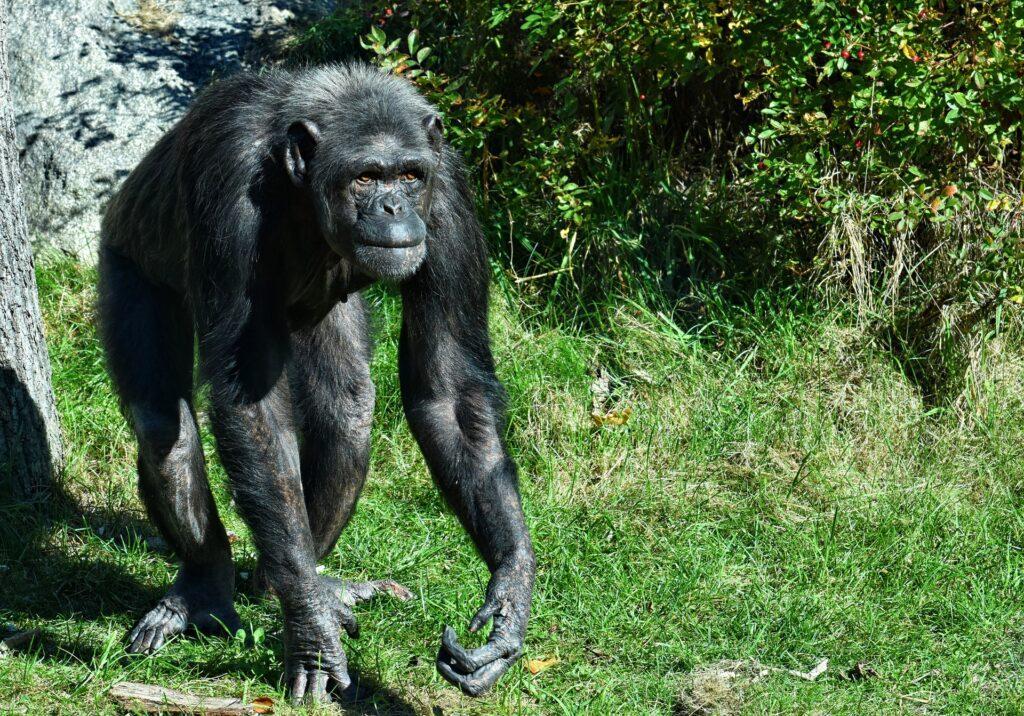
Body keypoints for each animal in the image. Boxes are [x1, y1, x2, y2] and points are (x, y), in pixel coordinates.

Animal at [96, 64, 536, 704]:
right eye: (365, 176)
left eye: (409, 175)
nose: (392, 207)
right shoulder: (226, 182)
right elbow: (251, 405)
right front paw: (312, 636)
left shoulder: (449, 200)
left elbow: (451, 388)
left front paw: (510, 592)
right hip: (126, 263)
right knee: (161, 425)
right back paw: (206, 592)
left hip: (325, 320)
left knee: (347, 414)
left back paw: (296, 584)